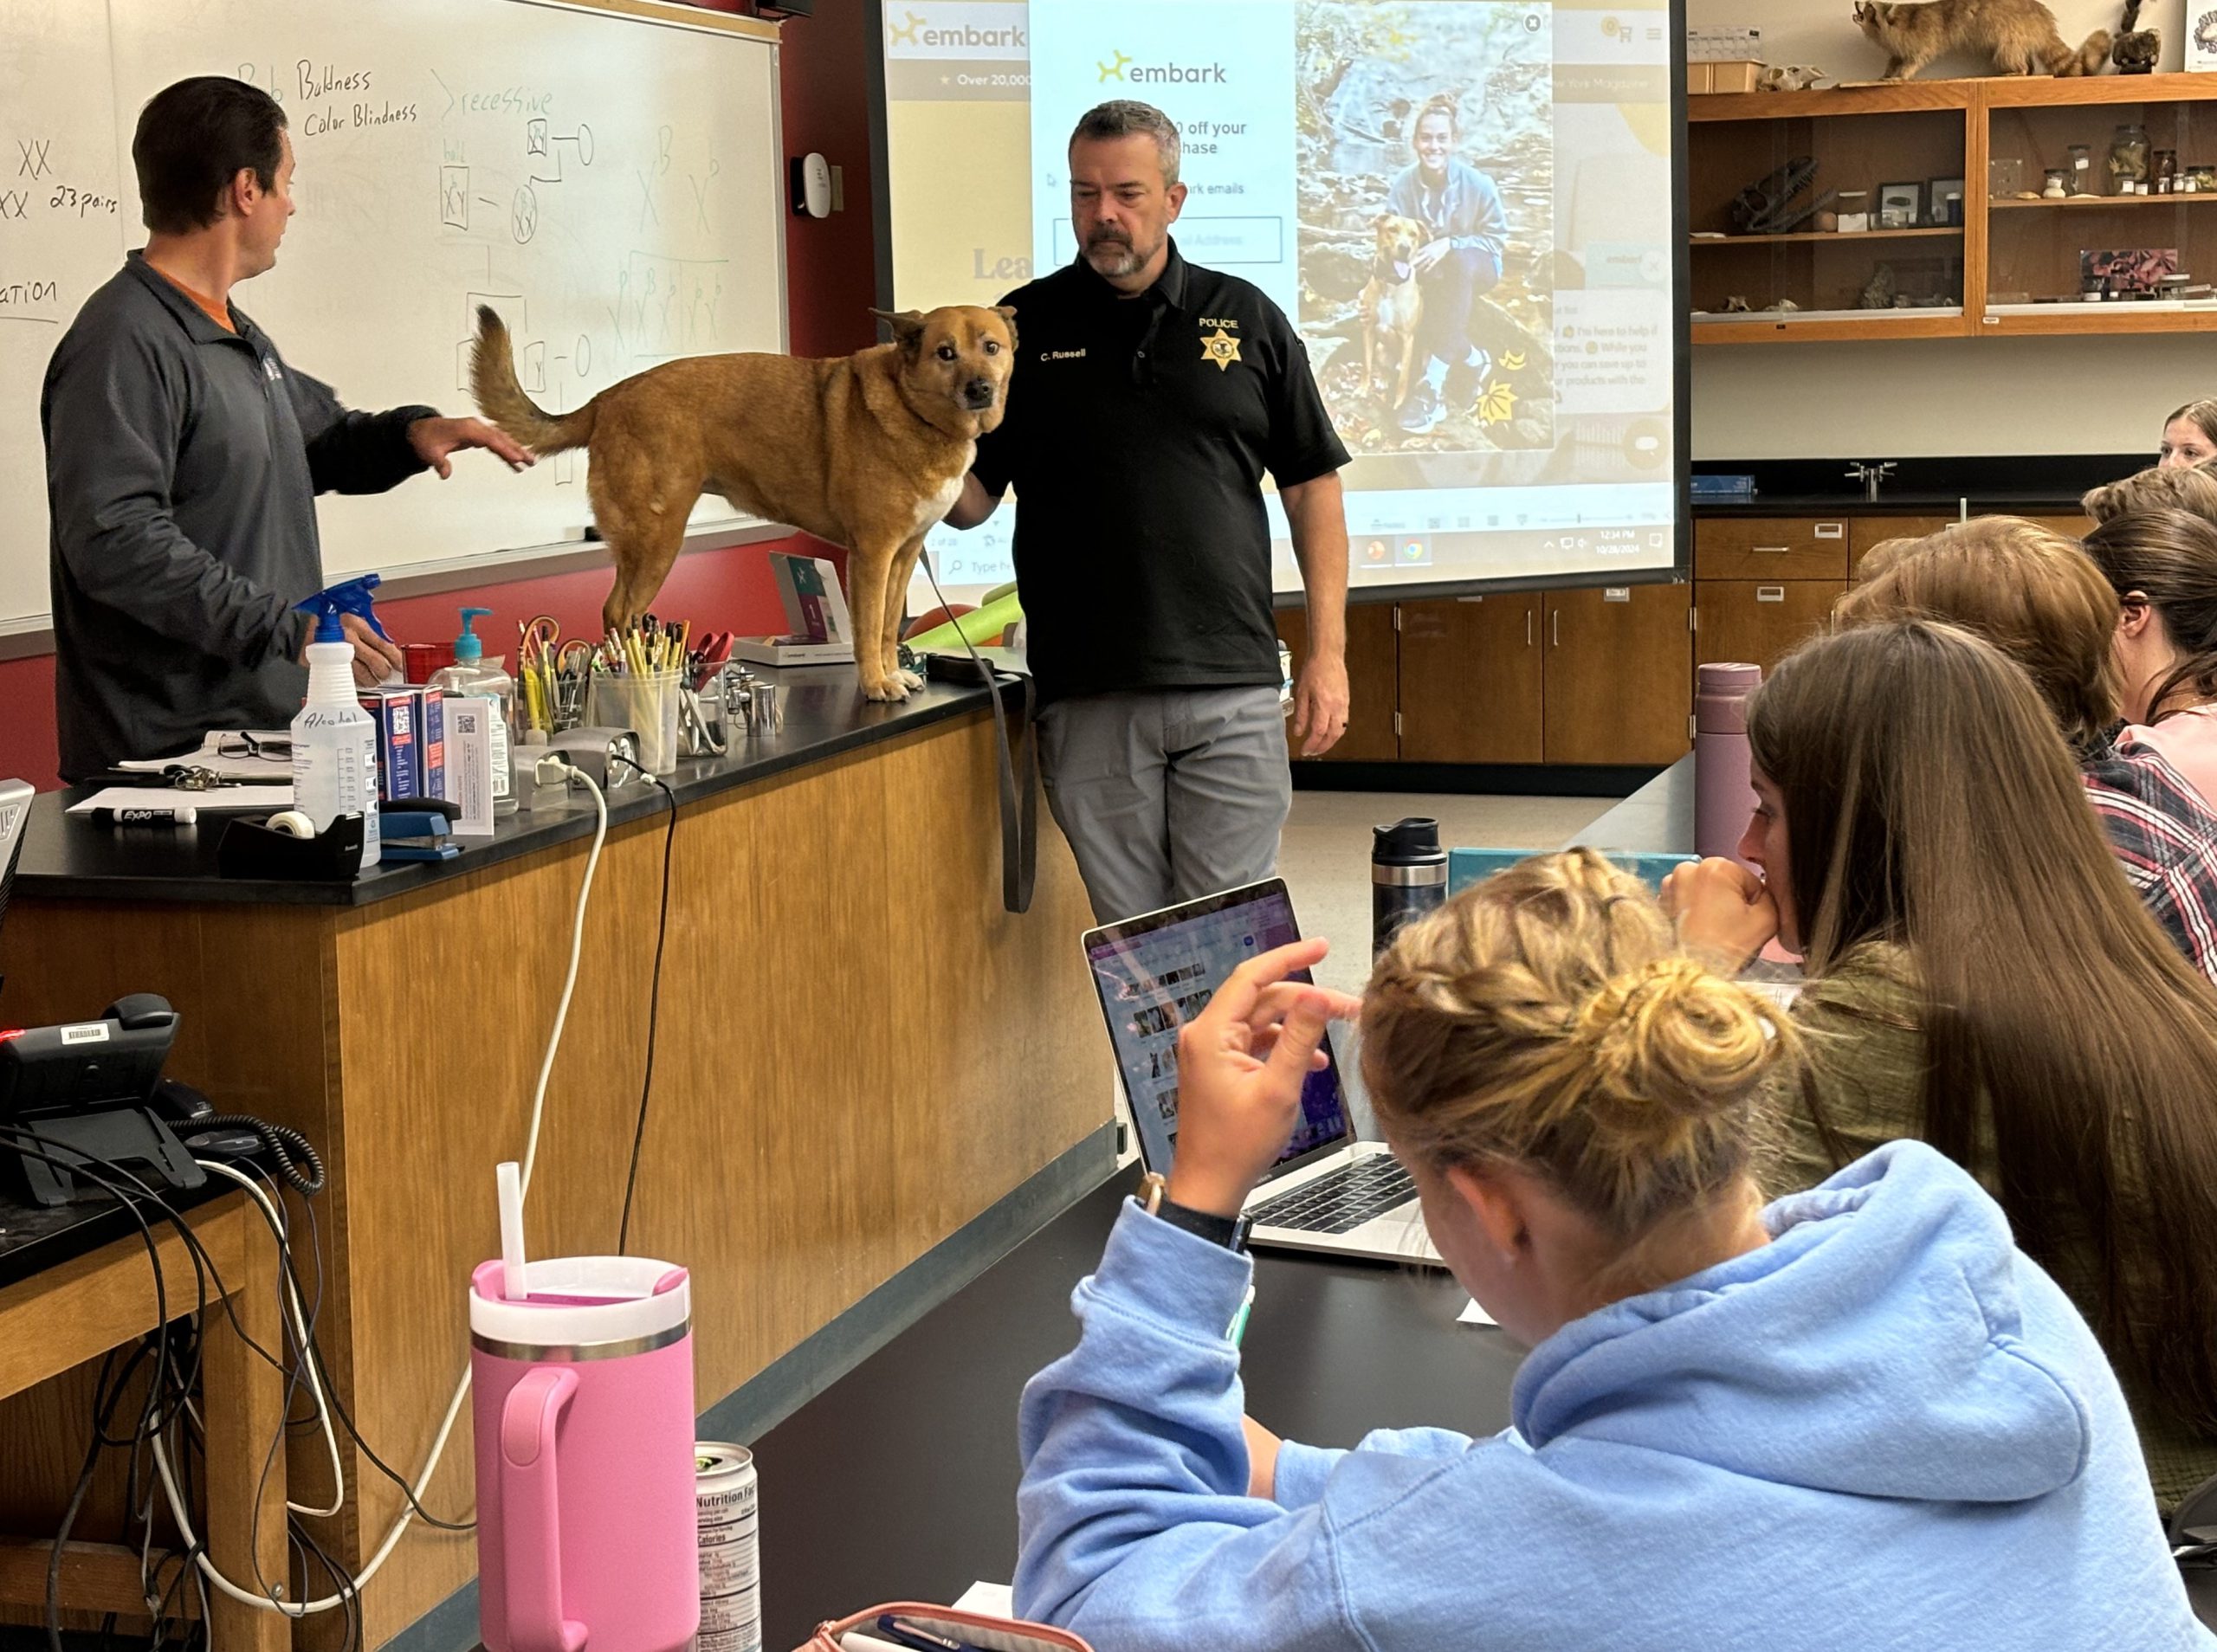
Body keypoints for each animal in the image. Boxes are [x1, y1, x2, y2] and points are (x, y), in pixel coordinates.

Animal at [476, 306, 1019, 700]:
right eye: (945, 353)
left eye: (991, 347)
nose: (980, 389)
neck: (914, 411)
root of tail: (606, 399)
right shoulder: (871, 554)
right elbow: (868, 631)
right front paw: (874, 685)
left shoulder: (903, 555)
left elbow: (888, 629)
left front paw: (892, 674)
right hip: (657, 544)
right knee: (618, 613)